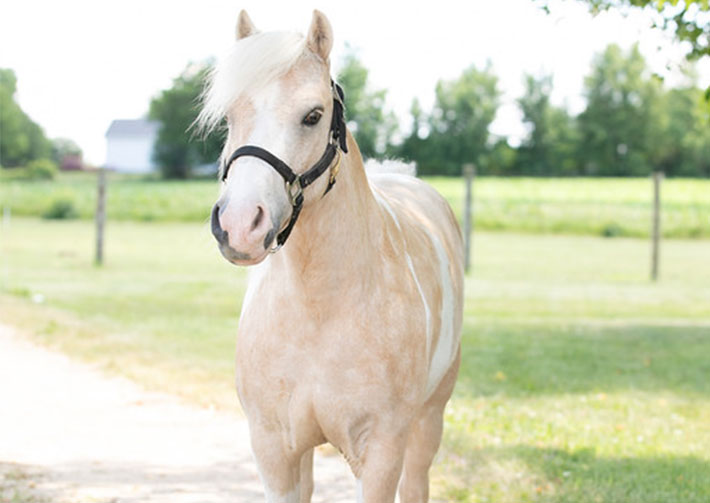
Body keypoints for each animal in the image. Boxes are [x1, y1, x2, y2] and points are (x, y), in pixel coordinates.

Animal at [201, 10, 464, 503]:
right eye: (229, 115)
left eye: (313, 115)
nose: (241, 226)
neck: (319, 310)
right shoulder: (276, 451)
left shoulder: (380, 453)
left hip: (429, 420)